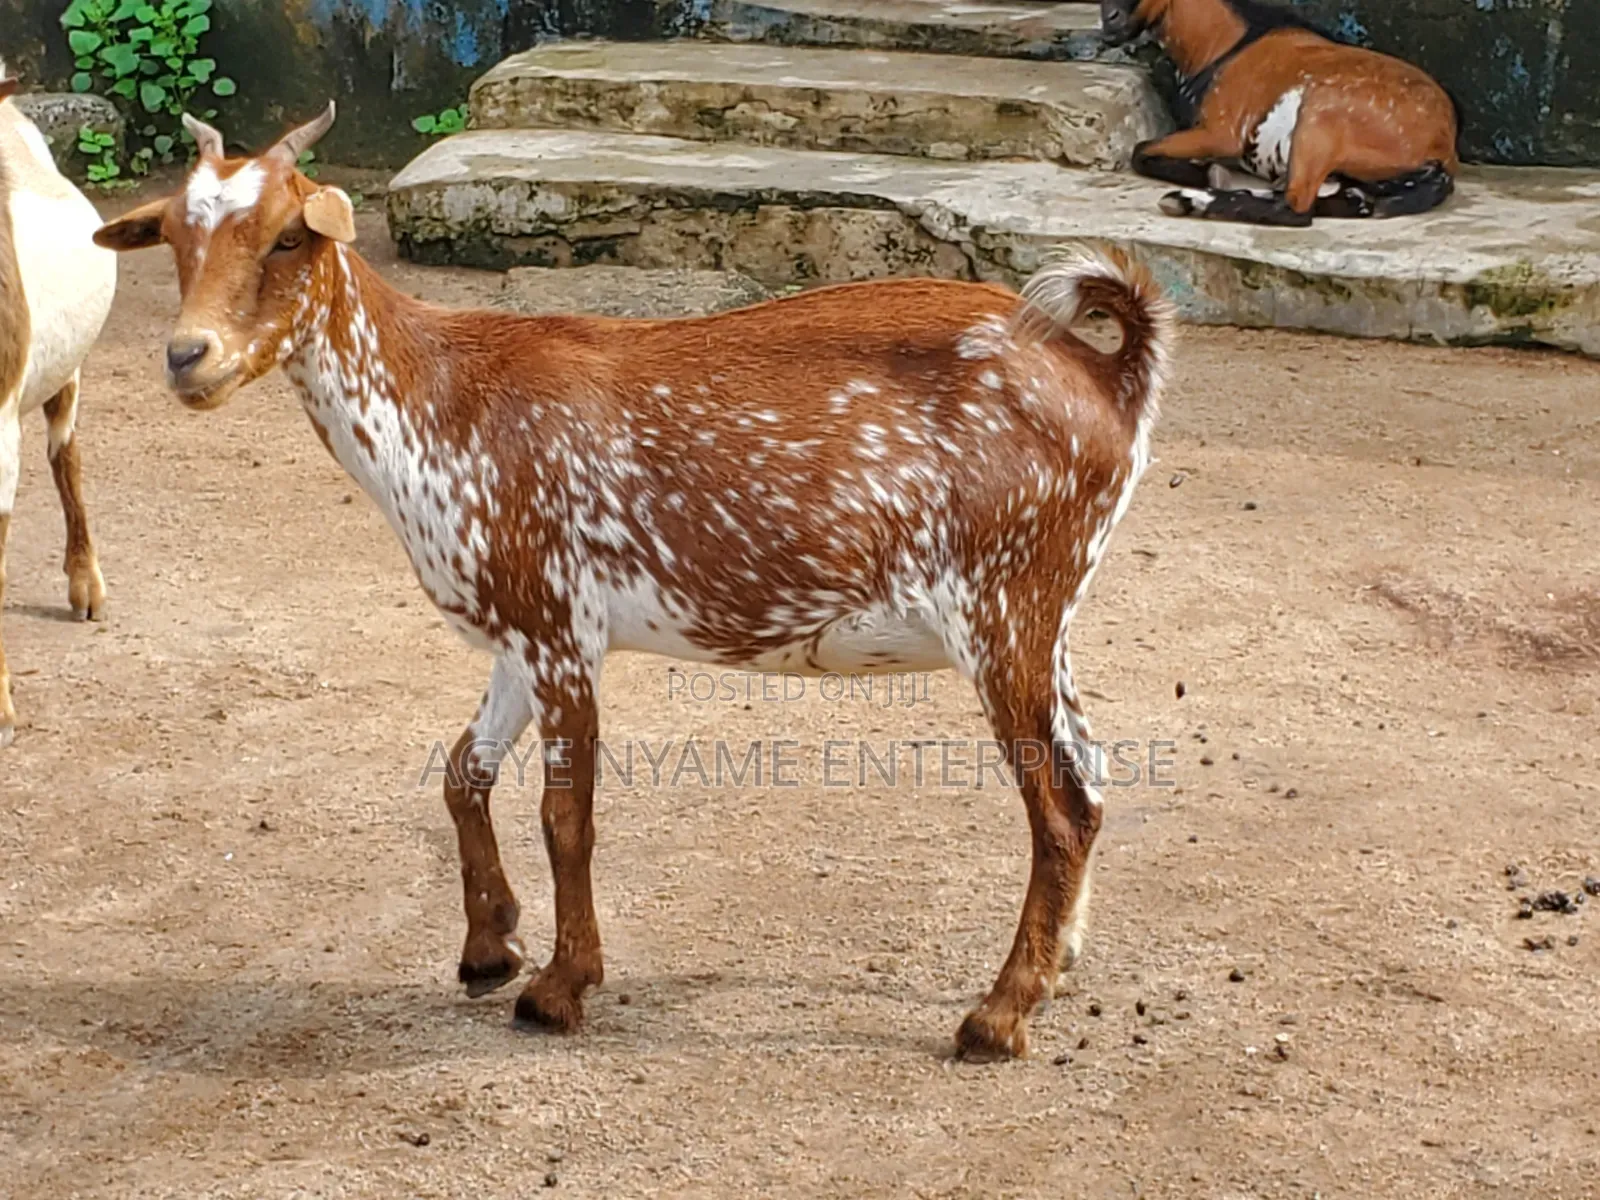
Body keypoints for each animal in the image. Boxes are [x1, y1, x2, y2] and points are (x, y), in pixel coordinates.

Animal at [94, 106, 1176, 1060]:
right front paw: (488, 945)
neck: (440, 403)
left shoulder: (561, 628)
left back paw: (998, 1016)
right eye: (174, 236)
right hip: (1049, 614)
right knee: (1097, 775)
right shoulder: (515, 629)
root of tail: (1109, 375)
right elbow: (461, 771)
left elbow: (565, 817)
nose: (189, 357)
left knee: (1060, 806)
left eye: (287, 235)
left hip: (1001, 605)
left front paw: (559, 989)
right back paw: (1061, 964)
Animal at [1103, 0, 1458, 226]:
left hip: (1319, 119)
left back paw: (1190, 200)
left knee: (1296, 209)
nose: (1109, 19)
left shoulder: (1221, 132)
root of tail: (1442, 148)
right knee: (1350, 202)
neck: (1226, 43)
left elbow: (1141, 151)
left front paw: (1208, 173)